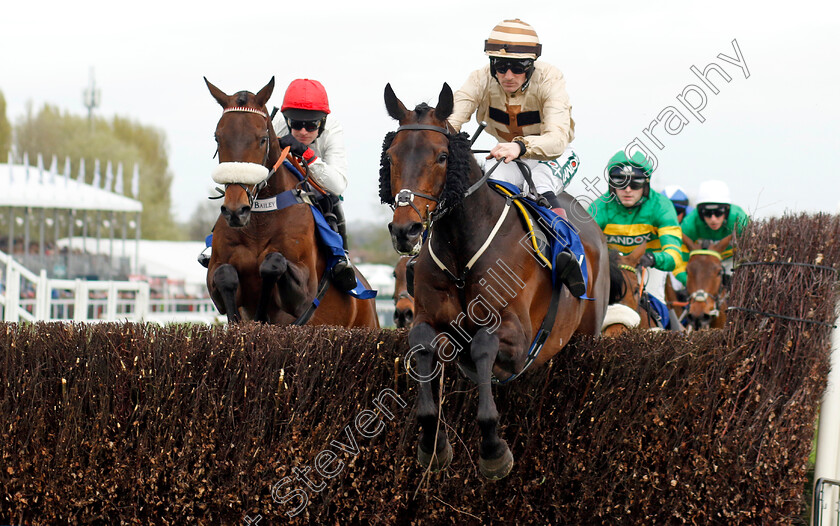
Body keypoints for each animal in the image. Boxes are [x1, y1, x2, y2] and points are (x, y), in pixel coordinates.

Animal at [203, 77, 378, 330]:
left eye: (263, 139)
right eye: (218, 137)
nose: (236, 211)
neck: (259, 220)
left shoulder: (303, 292)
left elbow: (273, 264)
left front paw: (261, 316)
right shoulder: (216, 274)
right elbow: (225, 274)